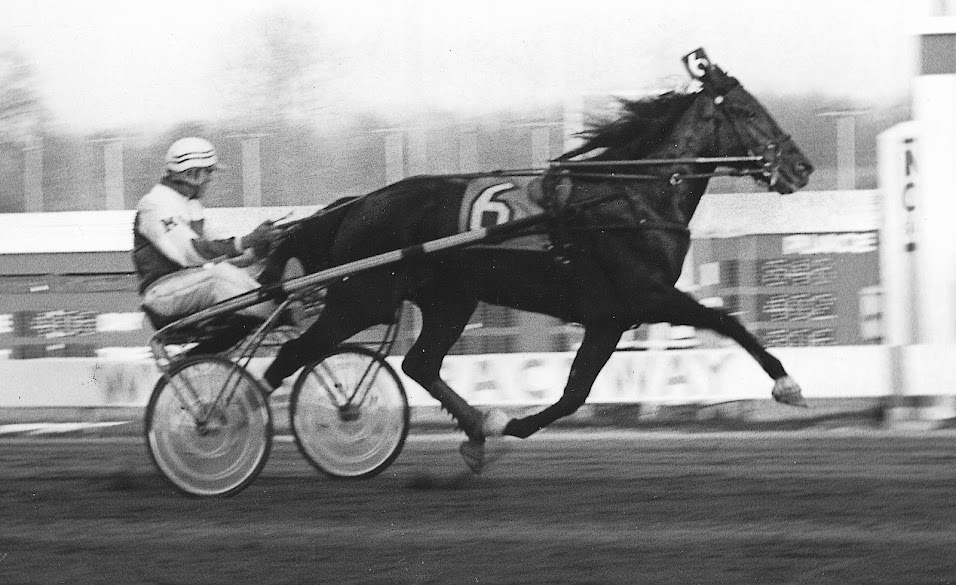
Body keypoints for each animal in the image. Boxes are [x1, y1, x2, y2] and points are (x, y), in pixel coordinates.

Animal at [260, 49, 816, 470]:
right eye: (748, 111)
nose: (801, 166)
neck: (631, 195)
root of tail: (353, 206)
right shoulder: (646, 295)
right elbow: (726, 319)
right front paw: (786, 383)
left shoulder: (609, 316)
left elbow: (575, 392)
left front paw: (507, 425)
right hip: (363, 299)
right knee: (292, 356)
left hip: (451, 299)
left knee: (420, 363)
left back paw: (479, 427)